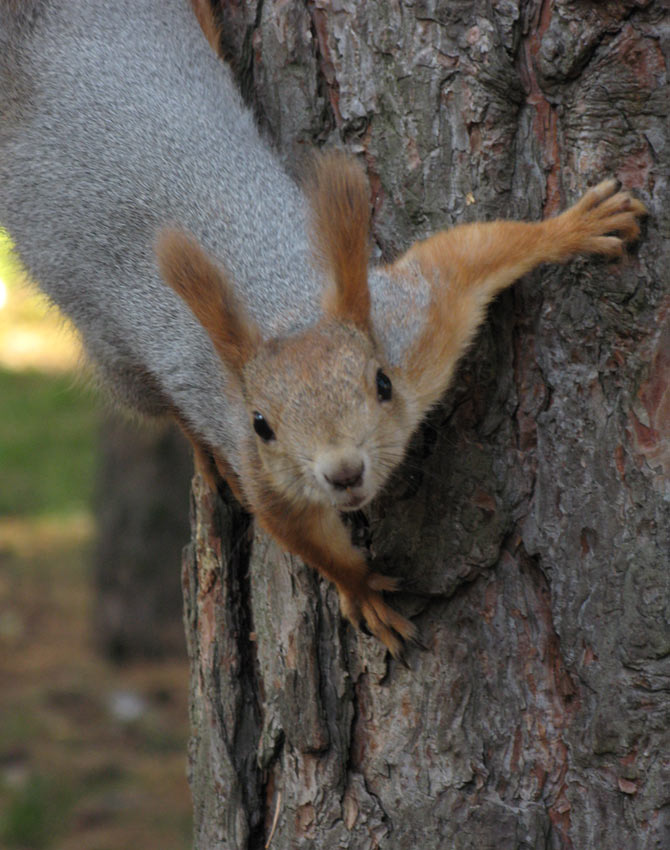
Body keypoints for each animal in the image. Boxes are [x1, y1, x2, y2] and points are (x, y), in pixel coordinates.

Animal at [0, 0, 646, 659]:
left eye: (382, 384)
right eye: (261, 424)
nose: (343, 472)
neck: (287, 312)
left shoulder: (419, 320)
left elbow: (476, 251)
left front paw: (576, 226)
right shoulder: (268, 474)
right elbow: (302, 536)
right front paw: (359, 587)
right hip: (114, 352)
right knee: (156, 400)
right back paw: (202, 454)